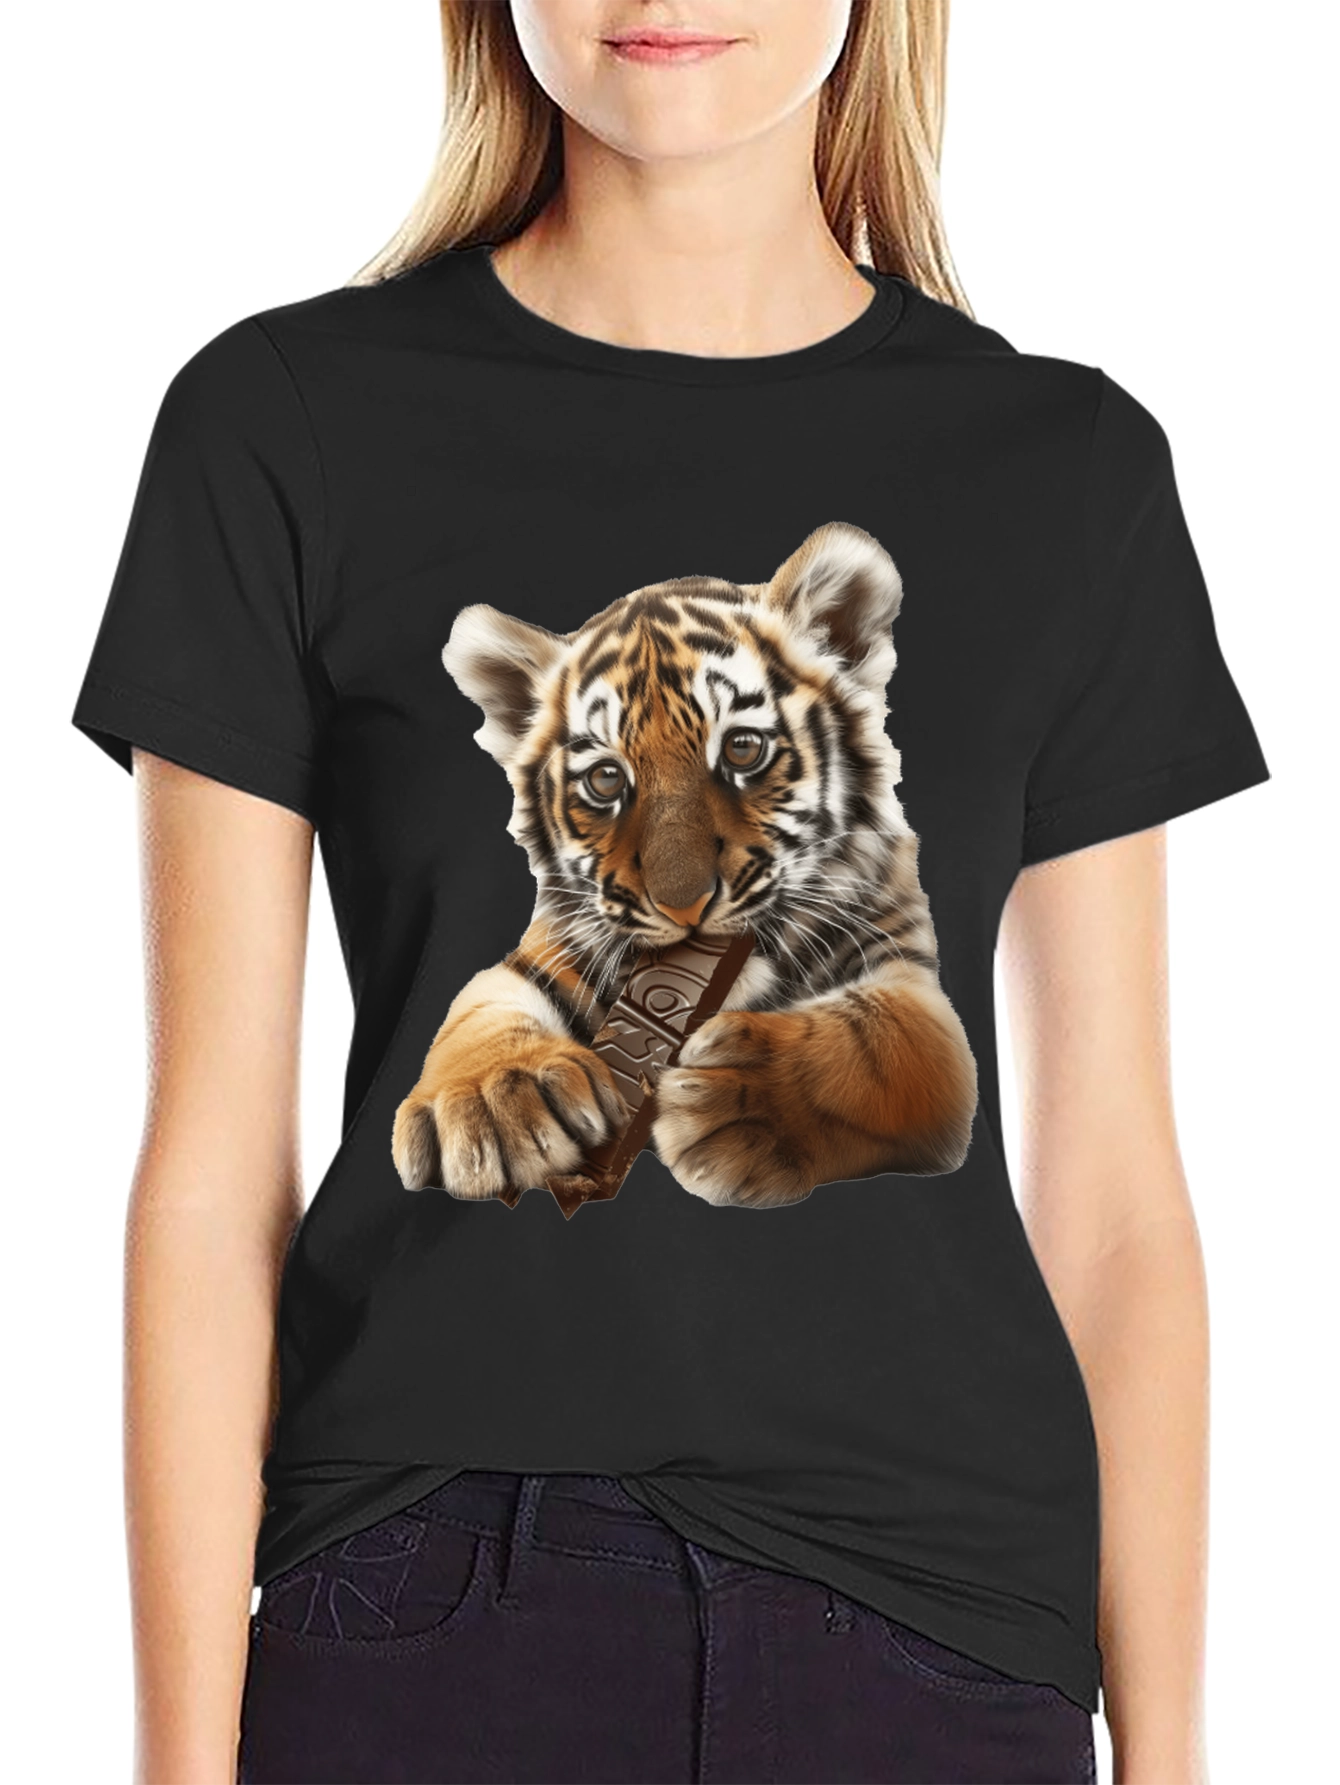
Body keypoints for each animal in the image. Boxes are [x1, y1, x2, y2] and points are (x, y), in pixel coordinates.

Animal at [391, 521, 977, 1210]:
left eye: (743, 749)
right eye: (606, 779)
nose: (684, 905)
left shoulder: (911, 978)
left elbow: (880, 1041)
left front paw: (741, 1104)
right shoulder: (543, 952)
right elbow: (480, 1010)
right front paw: (491, 1100)